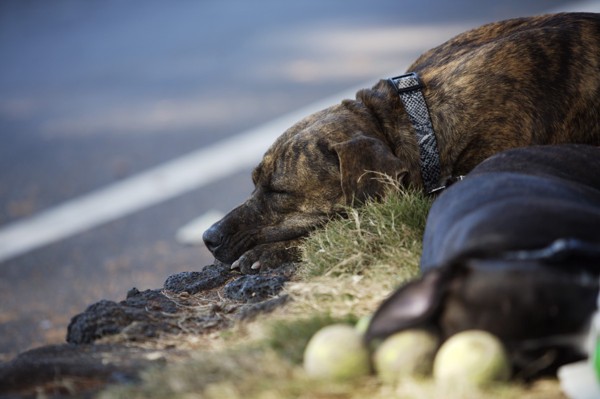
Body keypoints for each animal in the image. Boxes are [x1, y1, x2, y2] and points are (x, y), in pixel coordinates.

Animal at [204, 13, 600, 276]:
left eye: (280, 192)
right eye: (253, 183)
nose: (209, 237)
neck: (410, 123)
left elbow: (333, 232)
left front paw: (274, 251)